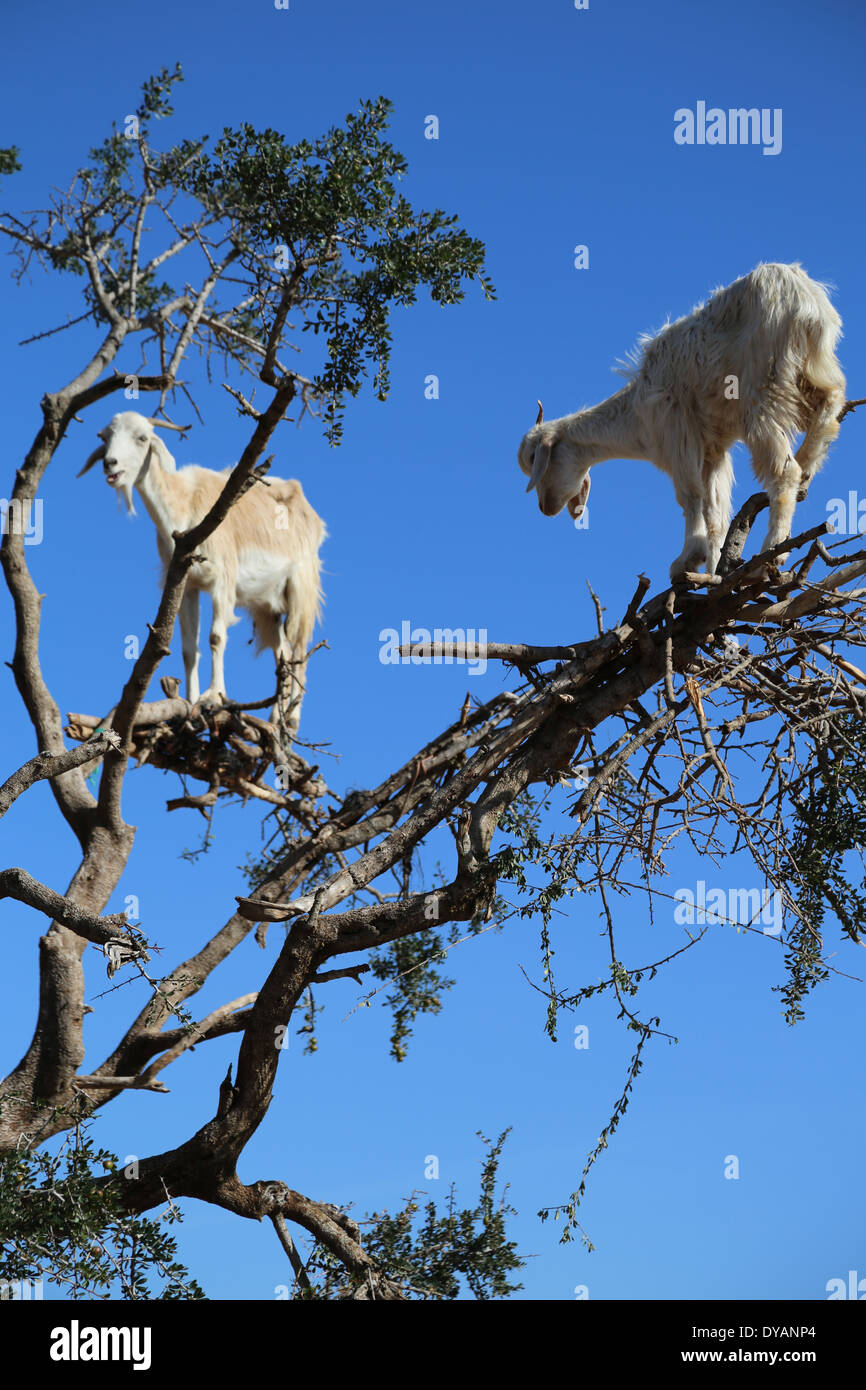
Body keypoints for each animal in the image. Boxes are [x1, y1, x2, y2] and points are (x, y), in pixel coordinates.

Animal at [79, 411, 325, 732]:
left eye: (142, 438)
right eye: (104, 437)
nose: (111, 464)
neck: (183, 505)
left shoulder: (223, 580)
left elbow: (215, 637)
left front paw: (213, 697)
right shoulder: (187, 585)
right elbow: (188, 647)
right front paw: (190, 702)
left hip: (301, 586)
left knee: (299, 648)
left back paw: (292, 719)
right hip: (266, 604)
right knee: (282, 651)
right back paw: (275, 717)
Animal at [518, 263, 846, 577]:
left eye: (536, 459)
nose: (545, 508)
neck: (638, 417)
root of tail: (804, 296)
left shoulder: (677, 430)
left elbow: (690, 497)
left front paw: (688, 559)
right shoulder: (713, 449)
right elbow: (715, 509)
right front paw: (712, 567)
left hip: (764, 385)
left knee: (784, 470)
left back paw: (771, 552)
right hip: (811, 372)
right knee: (832, 405)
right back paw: (808, 462)